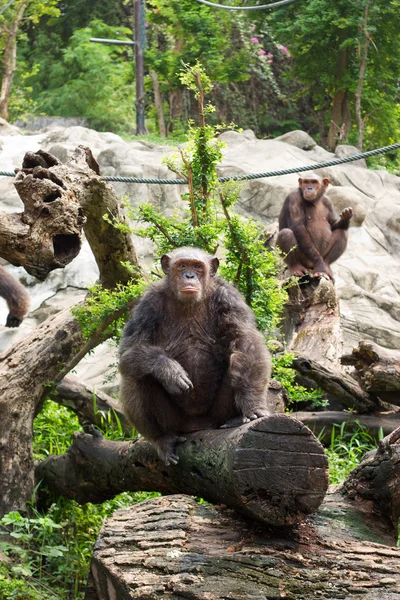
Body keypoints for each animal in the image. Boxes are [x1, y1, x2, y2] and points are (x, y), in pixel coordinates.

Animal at [119, 246, 272, 466]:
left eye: (198, 267)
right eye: (182, 265)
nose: (189, 275)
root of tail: (197, 425)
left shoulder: (229, 298)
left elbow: (244, 340)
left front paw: (253, 405)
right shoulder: (147, 304)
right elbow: (129, 349)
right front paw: (169, 370)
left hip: (216, 415)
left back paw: (234, 419)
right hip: (175, 421)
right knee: (135, 376)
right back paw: (161, 439)